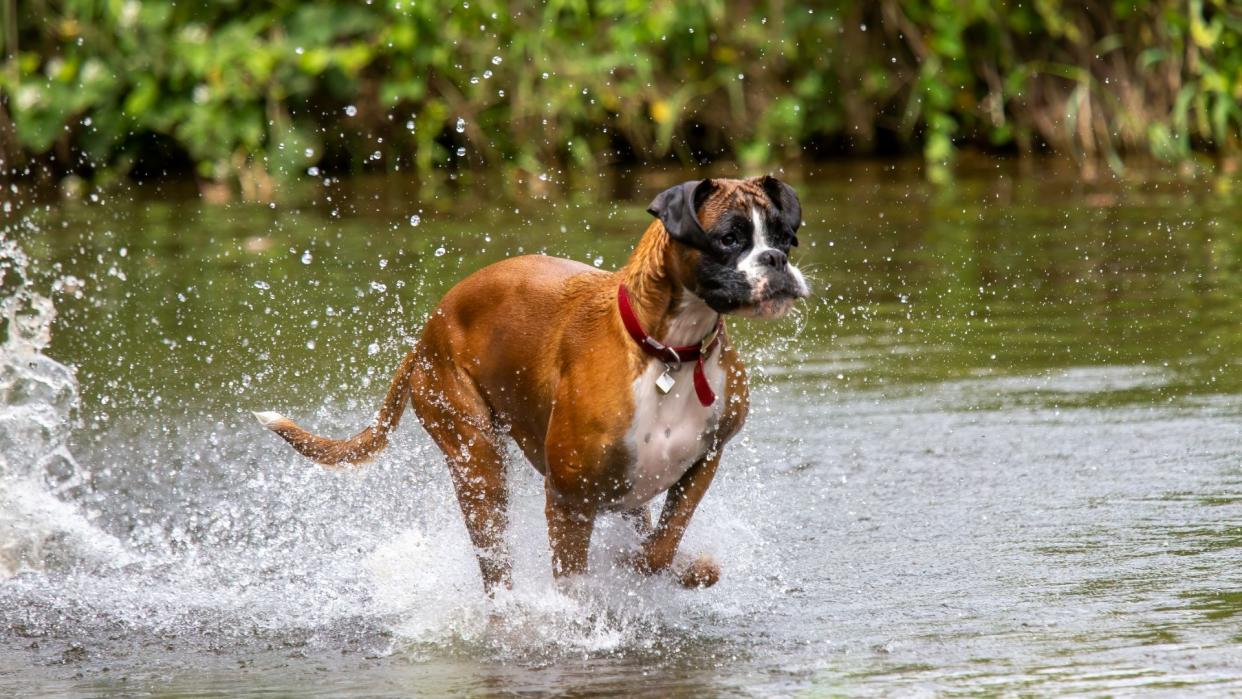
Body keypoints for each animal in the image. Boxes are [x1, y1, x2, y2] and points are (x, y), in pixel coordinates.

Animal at [257, 177, 809, 593]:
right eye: (729, 238)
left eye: (785, 237)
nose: (776, 261)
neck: (670, 352)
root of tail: (427, 332)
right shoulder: (568, 498)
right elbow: (579, 578)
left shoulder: (701, 462)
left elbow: (662, 545)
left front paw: (678, 568)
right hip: (478, 465)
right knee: (495, 565)